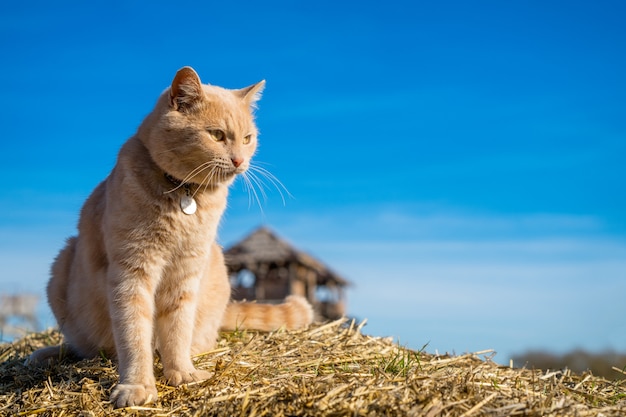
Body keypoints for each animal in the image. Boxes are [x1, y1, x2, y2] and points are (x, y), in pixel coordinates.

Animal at [28, 67, 312, 406]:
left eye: (247, 139)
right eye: (217, 135)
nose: (240, 161)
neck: (183, 194)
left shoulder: (186, 274)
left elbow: (177, 330)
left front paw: (181, 373)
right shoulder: (132, 273)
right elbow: (134, 334)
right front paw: (137, 385)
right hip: (62, 265)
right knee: (82, 347)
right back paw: (45, 354)